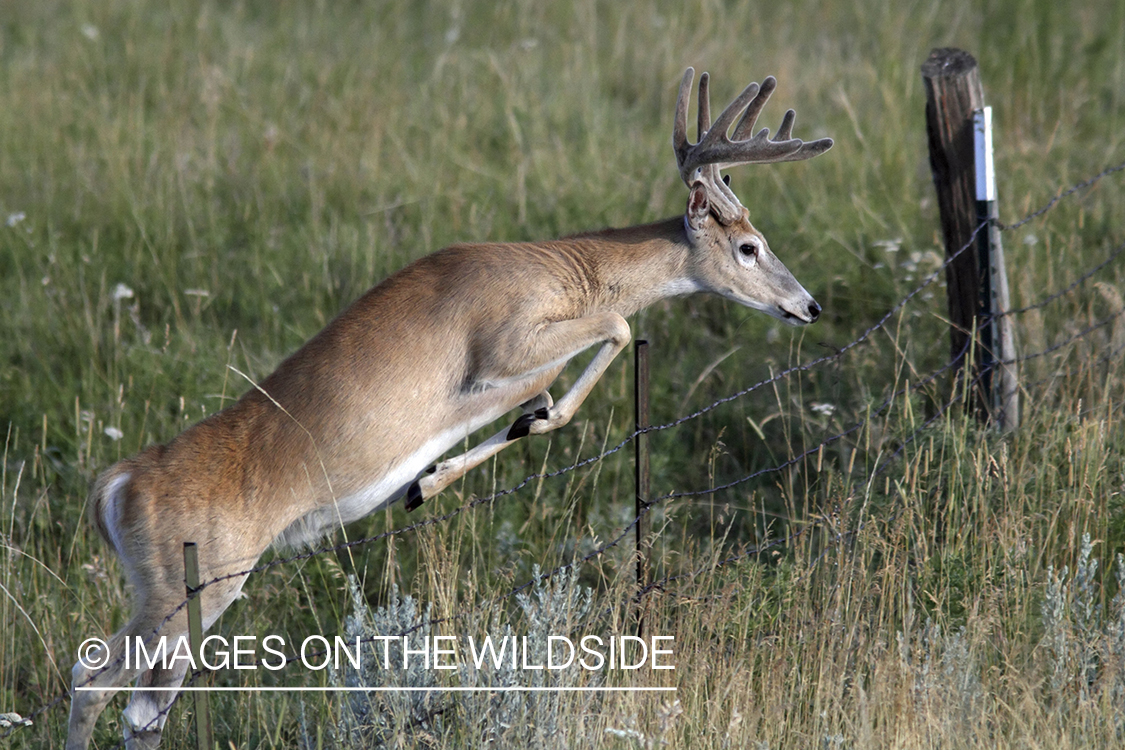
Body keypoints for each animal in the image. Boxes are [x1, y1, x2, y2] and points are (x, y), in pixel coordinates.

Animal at [65, 67, 832, 746]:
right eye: (749, 246)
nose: (808, 305)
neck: (566, 272)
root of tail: (118, 485)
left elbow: (547, 390)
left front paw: (440, 472)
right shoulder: (502, 343)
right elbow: (608, 331)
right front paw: (439, 473)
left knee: (119, 693)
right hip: (188, 587)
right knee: (105, 686)